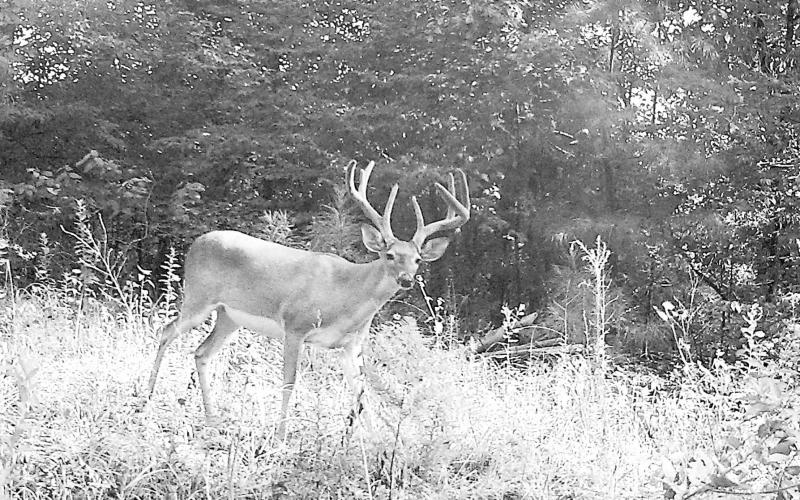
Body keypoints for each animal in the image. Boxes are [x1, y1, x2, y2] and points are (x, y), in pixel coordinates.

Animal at [145, 160, 470, 440]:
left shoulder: (351, 344)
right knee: (166, 331)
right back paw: (146, 397)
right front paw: (280, 436)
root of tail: (197, 242)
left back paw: (212, 420)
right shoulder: (295, 325)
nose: (406, 279)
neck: (347, 296)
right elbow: (289, 381)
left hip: (229, 316)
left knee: (201, 352)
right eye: (390, 255)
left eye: (417, 259)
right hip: (199, 296)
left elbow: (360, 393)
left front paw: (371, 444)